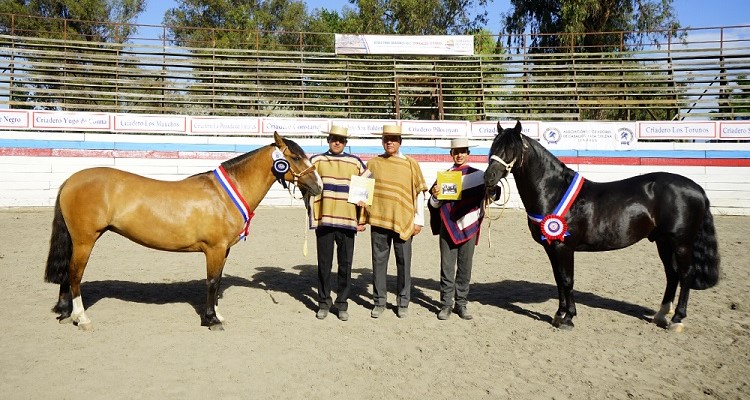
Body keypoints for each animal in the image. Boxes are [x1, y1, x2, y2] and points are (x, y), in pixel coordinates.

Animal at [44, 133, 320, 330]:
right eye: (296, 158)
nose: (318, 185)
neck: (223, 195)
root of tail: (70, 181)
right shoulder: (214, 249)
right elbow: (211, 282)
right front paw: (211, 320)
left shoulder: (224, 250)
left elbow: (218, 281)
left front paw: (217, 314)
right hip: (85, 241)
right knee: (75, 274)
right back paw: (81, 318)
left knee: (67, 274)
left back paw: (65, 312)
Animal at [488, 121, 724, 332]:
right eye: (493, 146)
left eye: (511, 148)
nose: (489, 177)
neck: (554, 191)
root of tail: (697, 188)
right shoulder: (551, 247)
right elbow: (558, 280)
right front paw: (559, 314)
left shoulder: (564, 247)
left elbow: (567, 280)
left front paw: (568, 318)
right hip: (663, 242)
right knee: (672, 274)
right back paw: (661, 314)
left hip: (681, 242)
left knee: (685, 275)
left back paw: (677, 320)